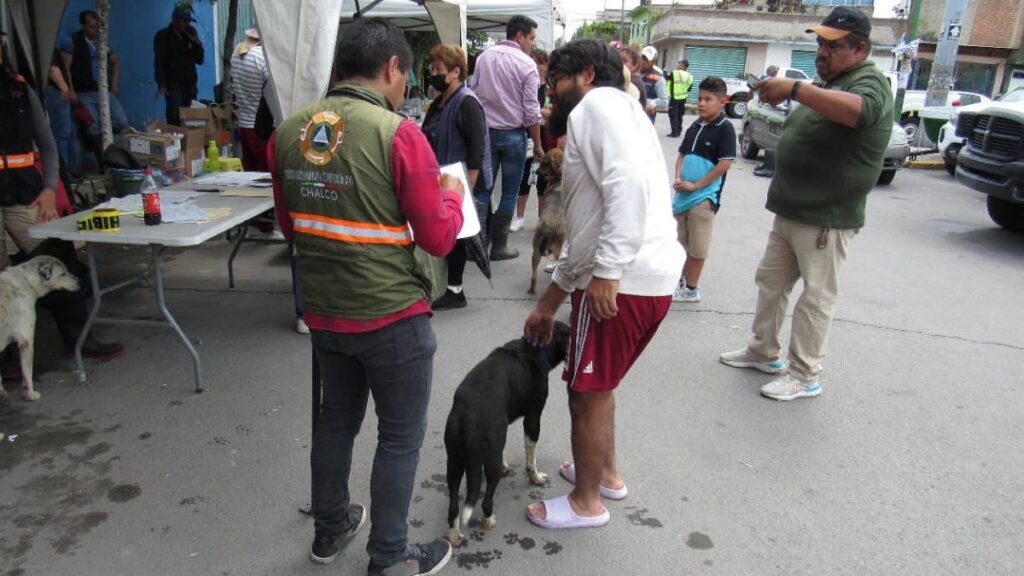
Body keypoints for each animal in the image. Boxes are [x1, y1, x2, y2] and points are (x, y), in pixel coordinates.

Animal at [0, 255, 79, 399]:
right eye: (63, 274)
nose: (80, 281)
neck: (26, 281)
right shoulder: (27, 341)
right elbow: (27, 374)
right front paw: (30, 395)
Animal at [442, 319, 569, 545]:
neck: (536, 347)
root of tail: (469, 413)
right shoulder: (533, 418)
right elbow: (531, 459)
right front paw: (535, 478)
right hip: (487, 460)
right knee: (486, 499)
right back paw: (488, 520)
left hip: (455, 462)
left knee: (453, 507)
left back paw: (455, 535)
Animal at [528, 147, 569, 293]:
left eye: (544, 163)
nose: (536, 172)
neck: (559, 177)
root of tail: (548, 229)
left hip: (536, 251)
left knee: (533, 276)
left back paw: (532, 290)